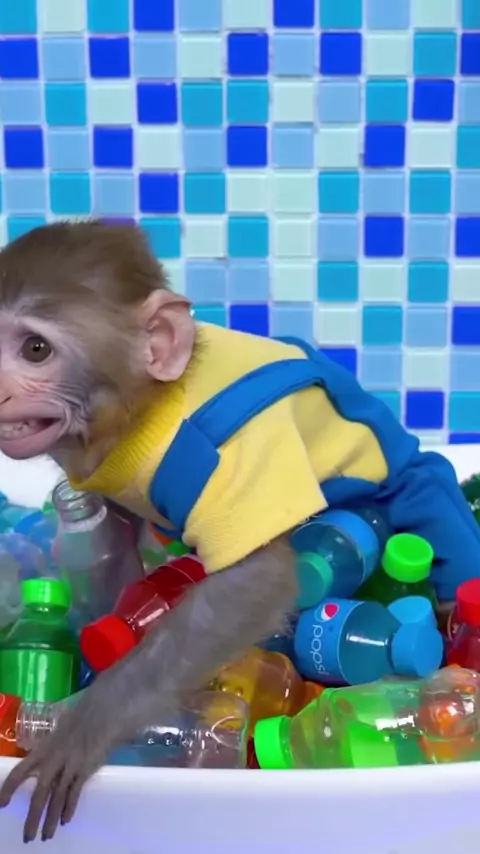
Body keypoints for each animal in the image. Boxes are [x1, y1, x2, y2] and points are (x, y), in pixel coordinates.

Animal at [0, 220, 478, 843]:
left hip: (422, 493)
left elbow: (254, 585)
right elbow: (112, 547)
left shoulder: (241, 452)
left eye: (36, 349)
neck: (149, 410)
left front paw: (85, 725)